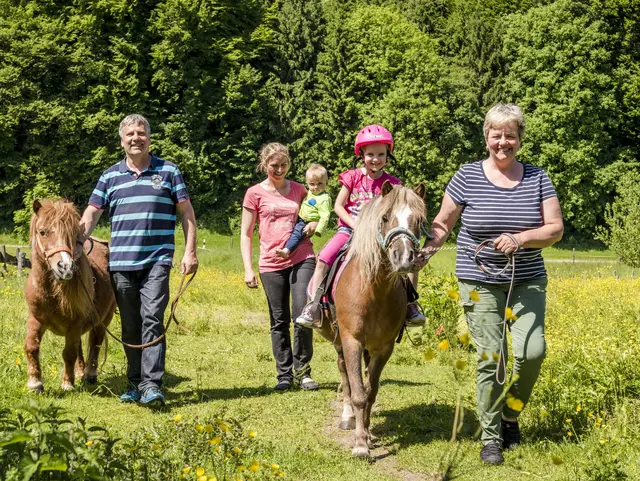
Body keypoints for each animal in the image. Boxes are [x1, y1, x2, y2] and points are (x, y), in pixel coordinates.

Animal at [24, 199, 116, 390]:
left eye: (73, 235)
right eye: (42, 232)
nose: (65, 266)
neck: (51, 293)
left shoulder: (75, 324)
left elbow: (69, 353)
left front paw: (67, 383)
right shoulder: (36, 319)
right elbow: (31, 346)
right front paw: (35, 382)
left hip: (104, 319)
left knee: (95, 343)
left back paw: (90, 374)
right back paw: (80, 372)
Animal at [318, 181, 428, 458]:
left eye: (419, 220)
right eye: (386, 217)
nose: (403, 258)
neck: (373, 290)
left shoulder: (384, 347)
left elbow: (370, 391)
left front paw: (367, 434)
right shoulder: (352, 341)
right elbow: (357, 392)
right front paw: (359, 445)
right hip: (340, 341)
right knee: (344, 374)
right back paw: (347, 417)